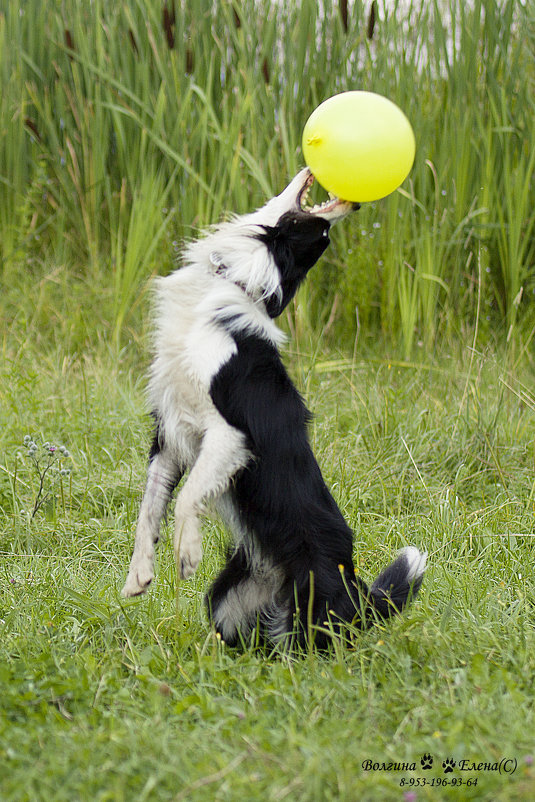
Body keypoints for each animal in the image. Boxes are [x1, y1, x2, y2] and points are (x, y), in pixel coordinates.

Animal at [121, 166, 428, 648]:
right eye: (322, 233)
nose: (358, 203)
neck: (233, 277)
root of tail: (358, 595)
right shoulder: (169, 433)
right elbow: (149, 509)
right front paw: (139, 575)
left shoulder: (229, 432)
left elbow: (187, 497)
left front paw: (187, 552)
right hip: (228, 595)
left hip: (311, 605)